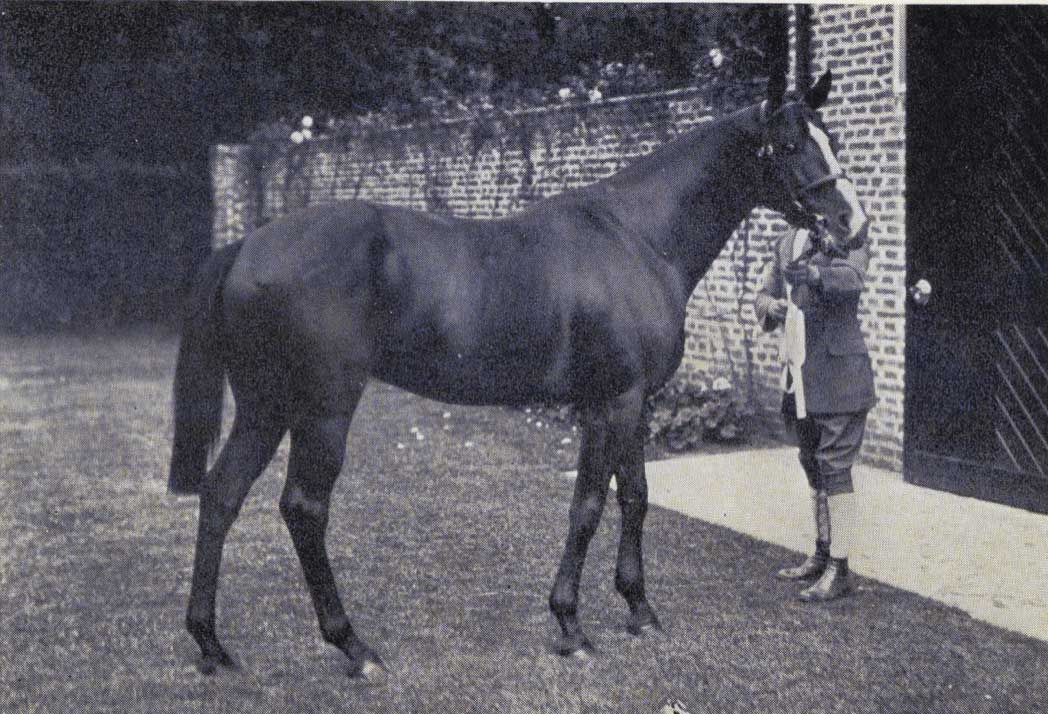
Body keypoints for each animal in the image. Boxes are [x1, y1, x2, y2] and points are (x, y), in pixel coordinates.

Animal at [169, 70, 867, 679]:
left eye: (832, 137)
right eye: (789, 145)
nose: (851, 226)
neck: (636, 238)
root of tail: (247, 246)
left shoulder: (622, 404)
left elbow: (632, 497)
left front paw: (636, 609)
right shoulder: (613, 400)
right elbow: (591, 505)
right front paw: (574, 625)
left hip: (265, 406)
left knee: (221, 495)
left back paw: (211, 644)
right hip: (324, 410)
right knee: (303, 508)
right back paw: (353, 646)